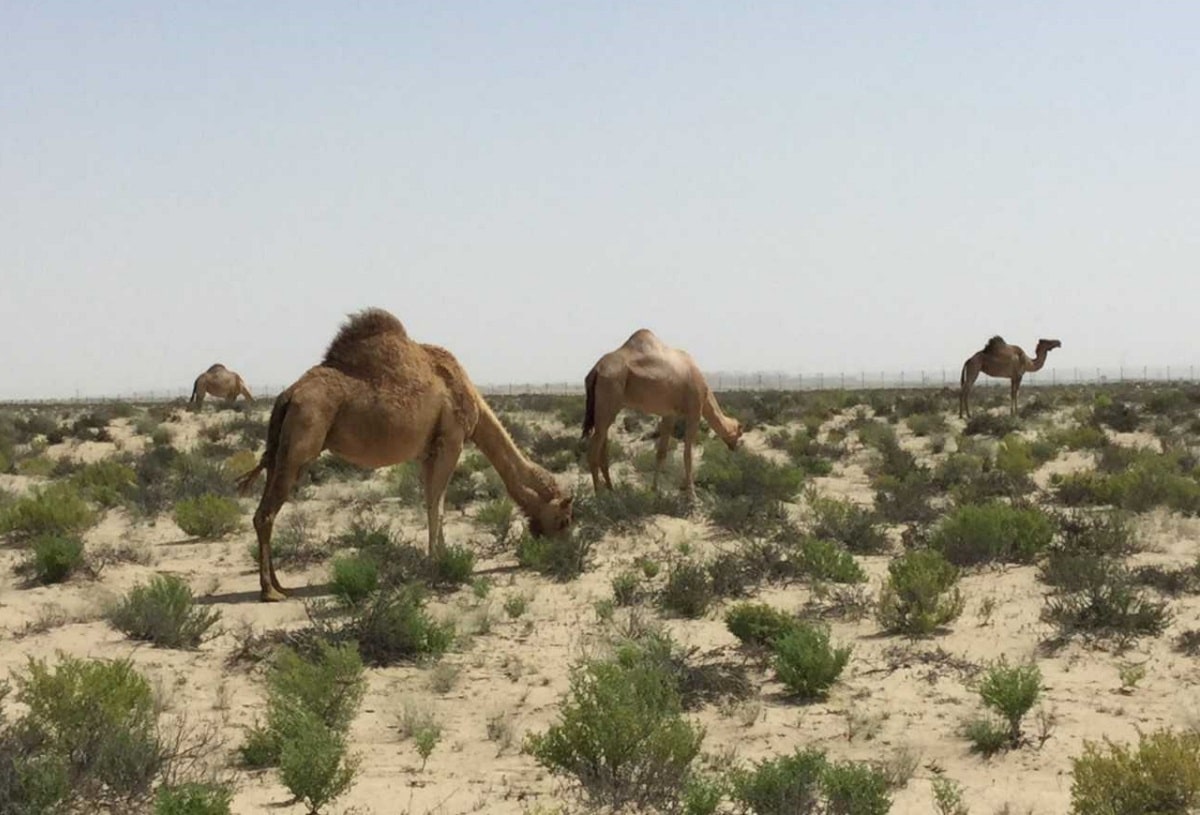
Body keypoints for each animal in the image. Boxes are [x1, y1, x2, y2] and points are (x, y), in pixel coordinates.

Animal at [236, 309, 573, 602]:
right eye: (564, 519)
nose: (565, 548)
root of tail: (286, 395)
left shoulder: (427, 452)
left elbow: (430, 503)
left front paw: (438, 557)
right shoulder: (451, 441)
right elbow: (438, 506)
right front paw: (438, 564)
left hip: (281, 447)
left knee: (266, 507)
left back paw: (279, 584)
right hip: (301, 441)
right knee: (265, 514)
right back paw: (270, 591)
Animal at [580, 328, 739, 496]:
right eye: (739, 432)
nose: (735, 447)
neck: (705, 391)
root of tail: (596, 370)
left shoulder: (670, 414)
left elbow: (661, 452)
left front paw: (655, 490)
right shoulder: (694, 411)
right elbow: (687, 453)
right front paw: (691, 494)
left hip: (606, 408)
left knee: (602, 446)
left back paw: (612, 491)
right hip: (609, 397)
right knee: (593, 450)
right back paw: (600, 496)